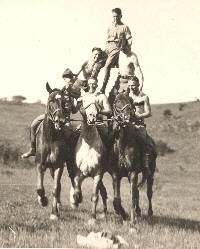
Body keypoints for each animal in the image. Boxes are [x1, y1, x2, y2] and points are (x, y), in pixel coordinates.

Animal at [35, 82, 74, 220]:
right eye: (50, 101)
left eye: (64, 102)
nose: (61, 121)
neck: (51, 137)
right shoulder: (40, 165)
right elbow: (40, 188)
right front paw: (43, 200)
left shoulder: (58, 166)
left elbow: (56, 188)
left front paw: (54, 213)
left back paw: (58, 206)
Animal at [69, 92, 108, 224]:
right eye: (83, 101)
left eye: (97, 101)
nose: (92, 116)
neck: (89, 144)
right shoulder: (78, 173)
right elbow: (77, 191)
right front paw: (76, 200)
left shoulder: (98, 174)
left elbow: (94, 196)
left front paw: (93, 219)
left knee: (103, 192)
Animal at [107, 92, 157, 224]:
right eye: (117, 102)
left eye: (129, 101)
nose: (127, 116)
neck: (123, 144)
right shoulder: (116, 174)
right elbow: (117, 199)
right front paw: (124, 215)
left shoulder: (133, 172)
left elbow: (132, 196)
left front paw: (132, 220)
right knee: (137, 192)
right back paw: (138, 212)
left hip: (150, 172)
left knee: (148, 192)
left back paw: (149, 213)